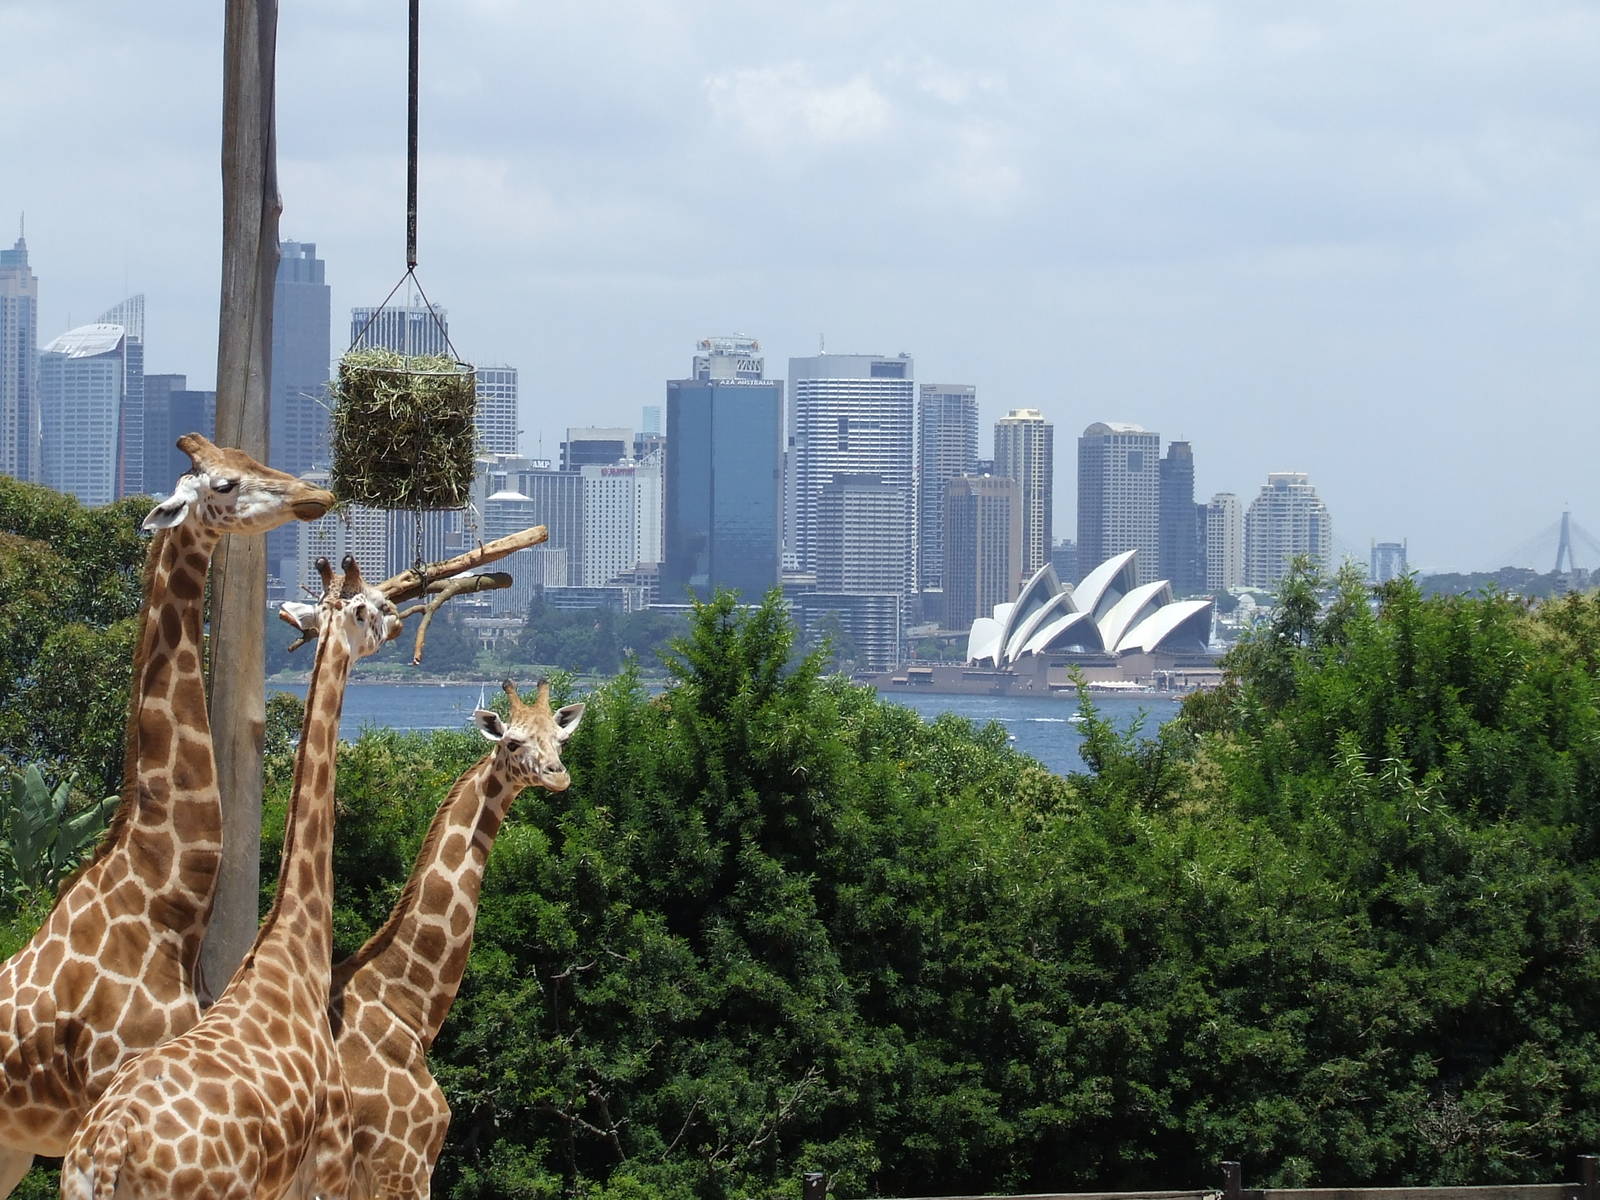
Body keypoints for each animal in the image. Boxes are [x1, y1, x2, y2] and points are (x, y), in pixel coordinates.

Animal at [0, 434, 333, 1194]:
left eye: (249, 459)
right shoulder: (107, 1081)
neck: (162, 898)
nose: (318, 493)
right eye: (224, 483)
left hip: (12, 1145)